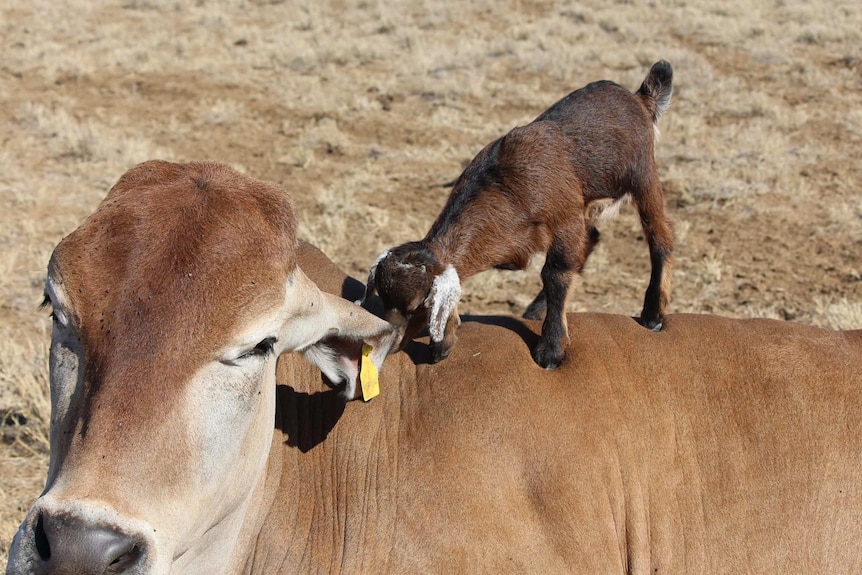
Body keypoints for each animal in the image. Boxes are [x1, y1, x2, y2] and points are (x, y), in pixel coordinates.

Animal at [364, 62, 676, 368]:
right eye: (382, 298)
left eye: (419, 305)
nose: (386, 344)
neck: (508, 187)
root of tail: (639, 96)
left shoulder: (565, 219)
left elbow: (556, 274)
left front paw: (551, 350)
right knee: (594, 237)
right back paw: (535, 311)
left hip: (643, 174)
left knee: (660, 234)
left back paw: (652, 314)